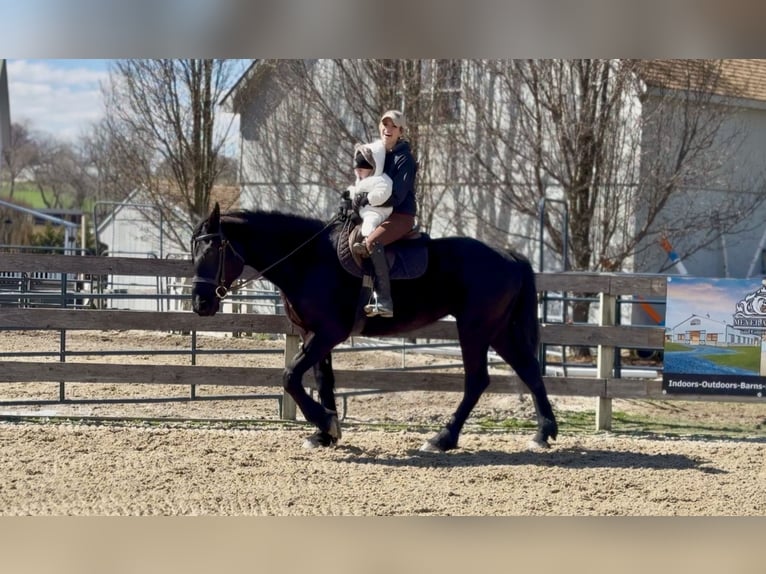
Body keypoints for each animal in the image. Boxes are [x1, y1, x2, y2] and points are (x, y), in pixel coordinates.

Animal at [190, 202, 558, 452]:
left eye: (214, 249)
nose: (199, 304)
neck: (308, 259)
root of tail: (508, 255)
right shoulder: (314, 334)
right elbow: (322, 380)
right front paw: (325, 433)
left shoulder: (328, 333)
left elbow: (290, 376)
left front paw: (325, 422)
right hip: (498, 330)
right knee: (529, 370)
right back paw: (543, 433)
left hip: (475, 329)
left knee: (478, 380)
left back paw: (443, 438)